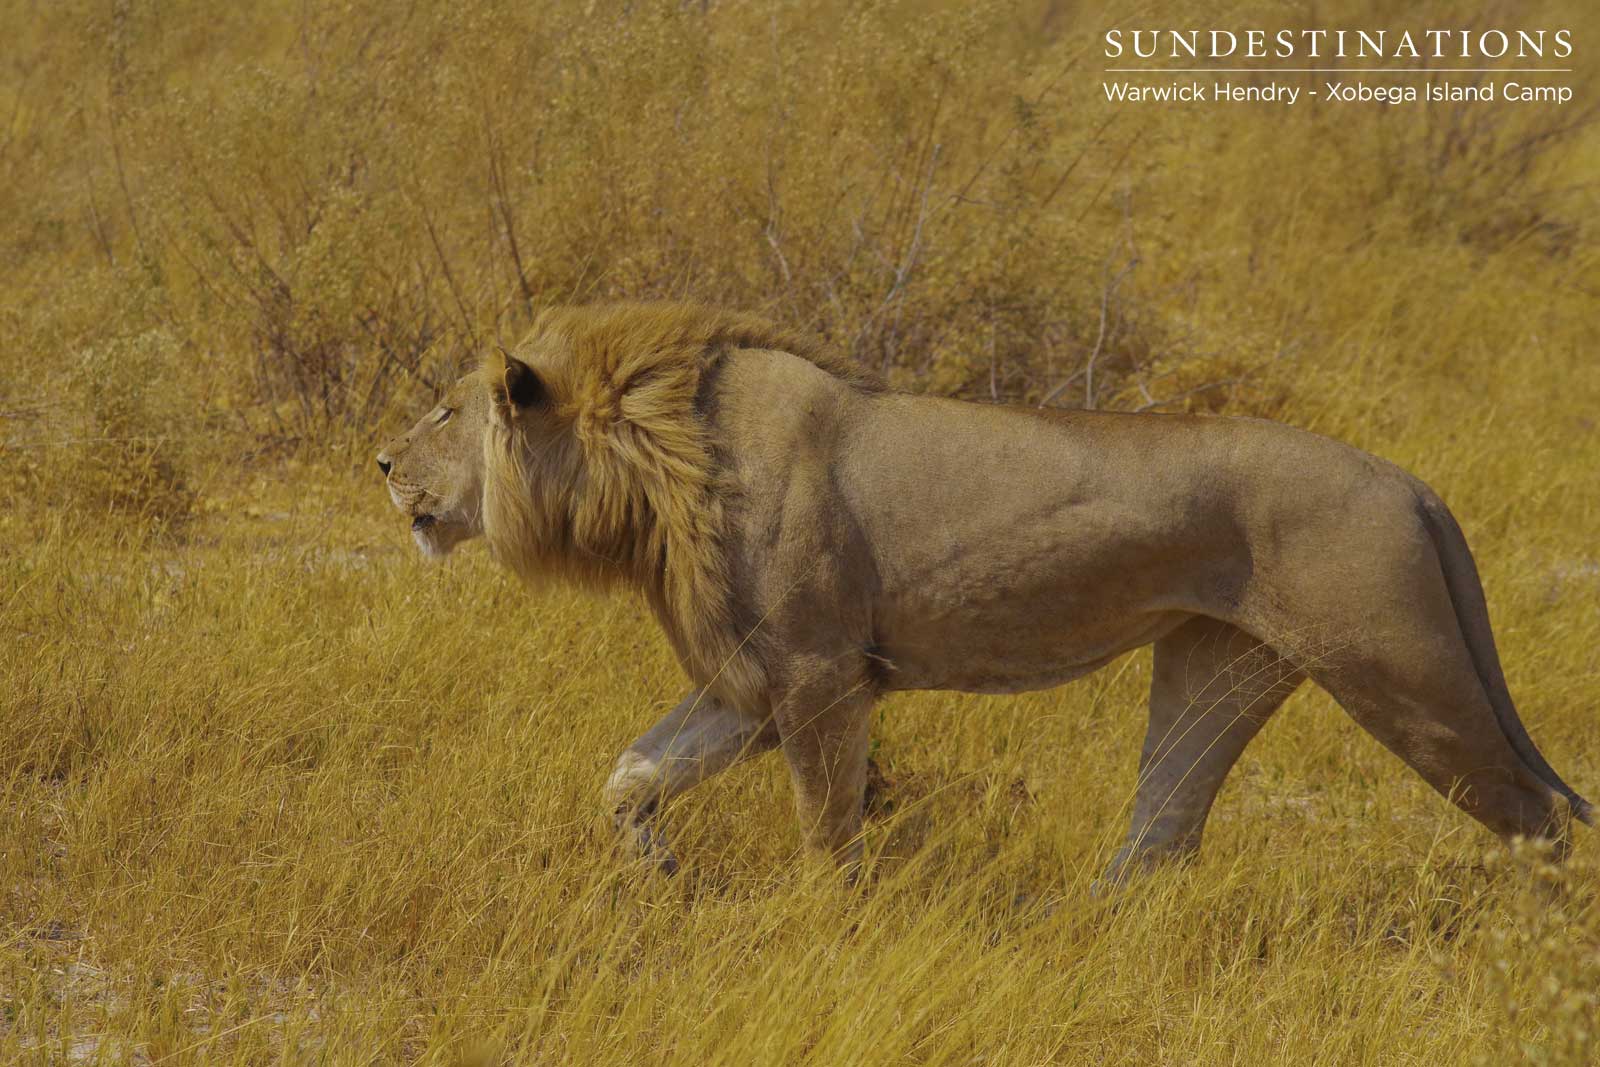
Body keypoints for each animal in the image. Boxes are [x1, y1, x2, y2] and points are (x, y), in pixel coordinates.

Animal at [376, 302, 1590, 882]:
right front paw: (660, 875)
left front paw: (830, 929)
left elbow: (827, 831)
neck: (650, 459)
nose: (381, 463)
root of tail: (1412, 481)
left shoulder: (818, 676)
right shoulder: (747, 685)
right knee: (1158, 840)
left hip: (1404, 671)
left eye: (443, 411)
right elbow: (629, 777)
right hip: (1218, 664)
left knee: (1538, 819)